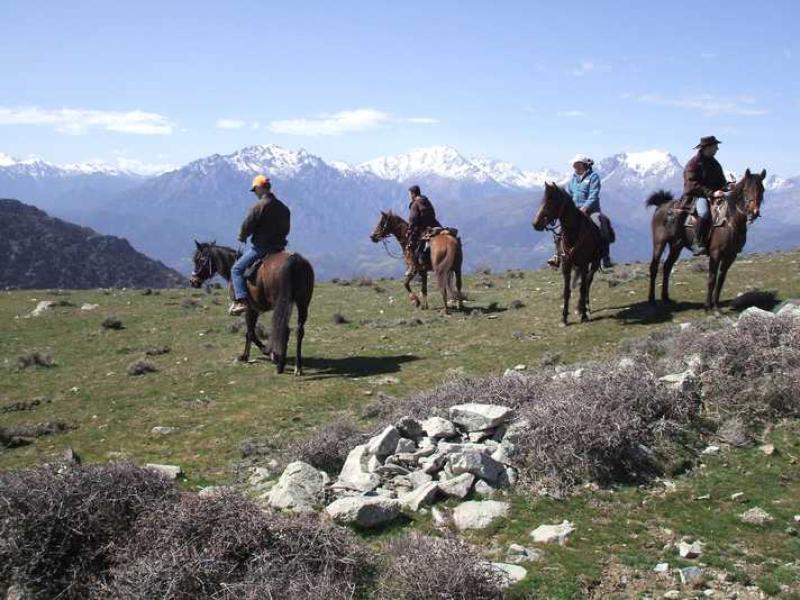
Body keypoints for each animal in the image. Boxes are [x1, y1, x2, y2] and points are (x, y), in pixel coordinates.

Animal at [189, 241, 314, 375]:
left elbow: (250, 333)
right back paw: (297, 367)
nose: (193, 281)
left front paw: (267, 353)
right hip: (303, 302)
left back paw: (280, 364)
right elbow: (249, 333)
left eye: (199, 260)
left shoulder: (249, 308)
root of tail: (294, 260)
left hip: (281, 303)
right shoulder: (255, 310)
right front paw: (246, 355)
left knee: (283, 329)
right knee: (299, 331)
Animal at [532, 182, 603, 325]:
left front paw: (584, 316)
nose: (535, 223)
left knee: (588, 282)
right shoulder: (566, 265)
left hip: (594, 263)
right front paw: (564, 318)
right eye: (542, 199)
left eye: (551, 200)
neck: (573, 234)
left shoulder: (584, 264)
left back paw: (585, 307)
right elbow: (566, 291)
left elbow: (582, 287)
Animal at [646, 168, 766, 310]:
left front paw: (716, 304)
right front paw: (708, 306)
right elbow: (712, 279)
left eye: (762, 189)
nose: (754, 212)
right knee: (654, 267)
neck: (730, 221)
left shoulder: (731, 256)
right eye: (746, 189)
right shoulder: (715, 253)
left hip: (676, 246)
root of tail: (662, 204)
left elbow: (721, 280)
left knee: (667, 267)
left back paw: (666, 297)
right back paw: (651, 300)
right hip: (659, 243)